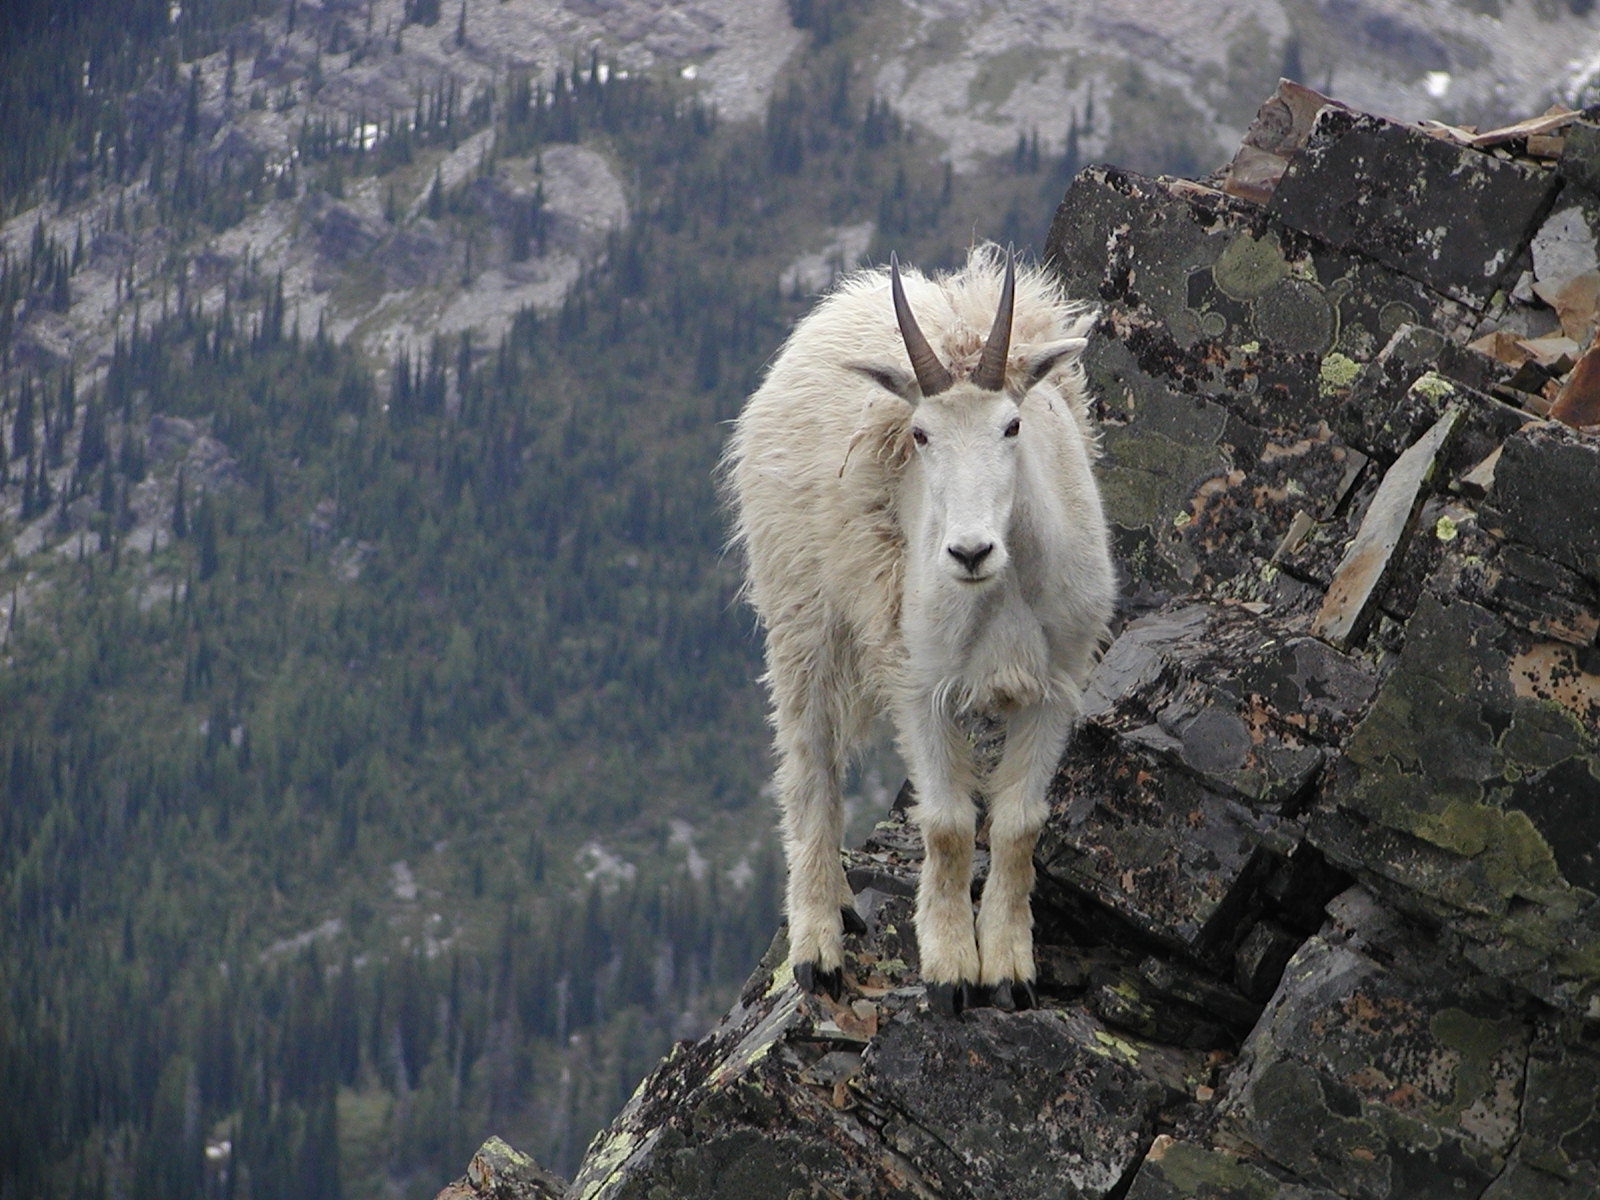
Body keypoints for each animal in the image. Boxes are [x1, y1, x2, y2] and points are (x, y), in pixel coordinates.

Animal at [726, 244, 1113, 1017]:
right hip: (800, 609)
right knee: (809, 761)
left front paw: (1010, 971)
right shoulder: (920, 682)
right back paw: (818, 943)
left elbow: (1018, 825)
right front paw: (950, 971)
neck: (1002, 590)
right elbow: (948, 825)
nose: (968, 552)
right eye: (921, 433)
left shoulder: (1054, 685)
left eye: (1012, 426)